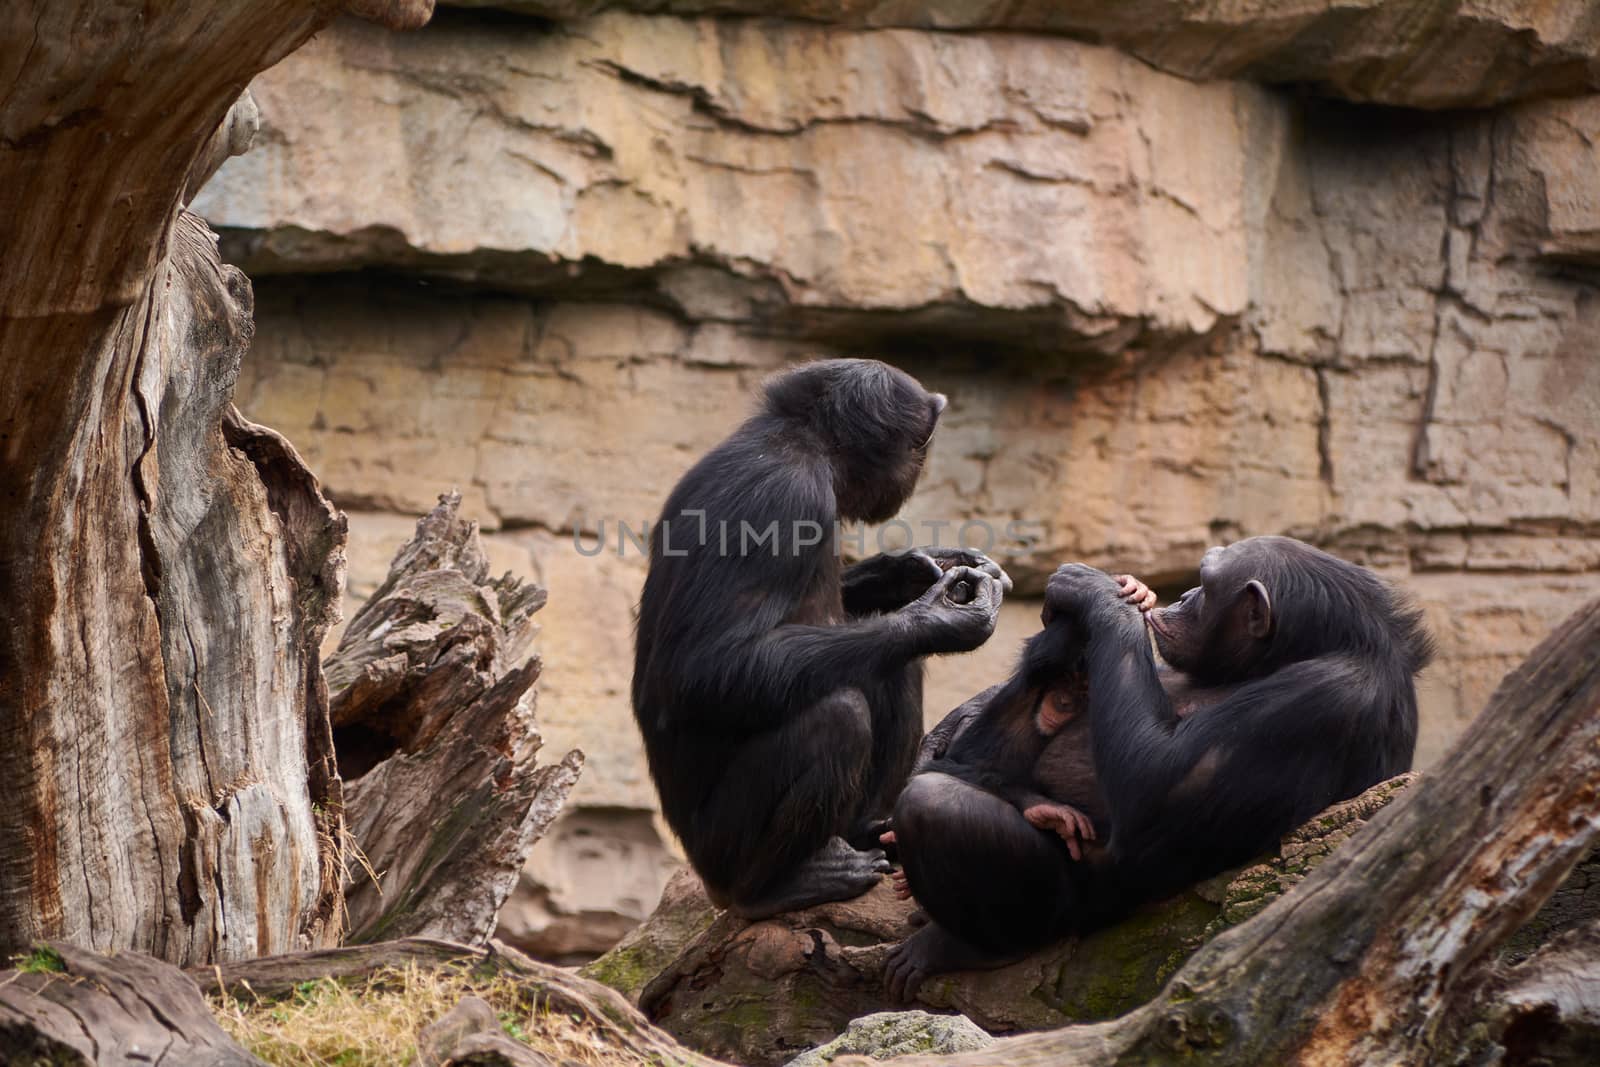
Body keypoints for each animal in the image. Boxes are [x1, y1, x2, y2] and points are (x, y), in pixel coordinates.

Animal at [630, 356, 1004, 921]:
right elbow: (702, 667)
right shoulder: (783, 501)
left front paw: (912, 570)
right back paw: (779, 886)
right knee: (838, 716)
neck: (809, 450)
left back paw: (872, 833)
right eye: (921, 441)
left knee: (892, 666)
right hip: (718, 850)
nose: (921, 465)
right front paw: (938, 616)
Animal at [889, 537, 1440, 998]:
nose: (1184, 594)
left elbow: (1155, 788)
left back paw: (962, 942)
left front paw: (1097, 594)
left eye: (1205, 585)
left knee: (935, 806)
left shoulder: (1323, 698)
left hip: (1078, 908)